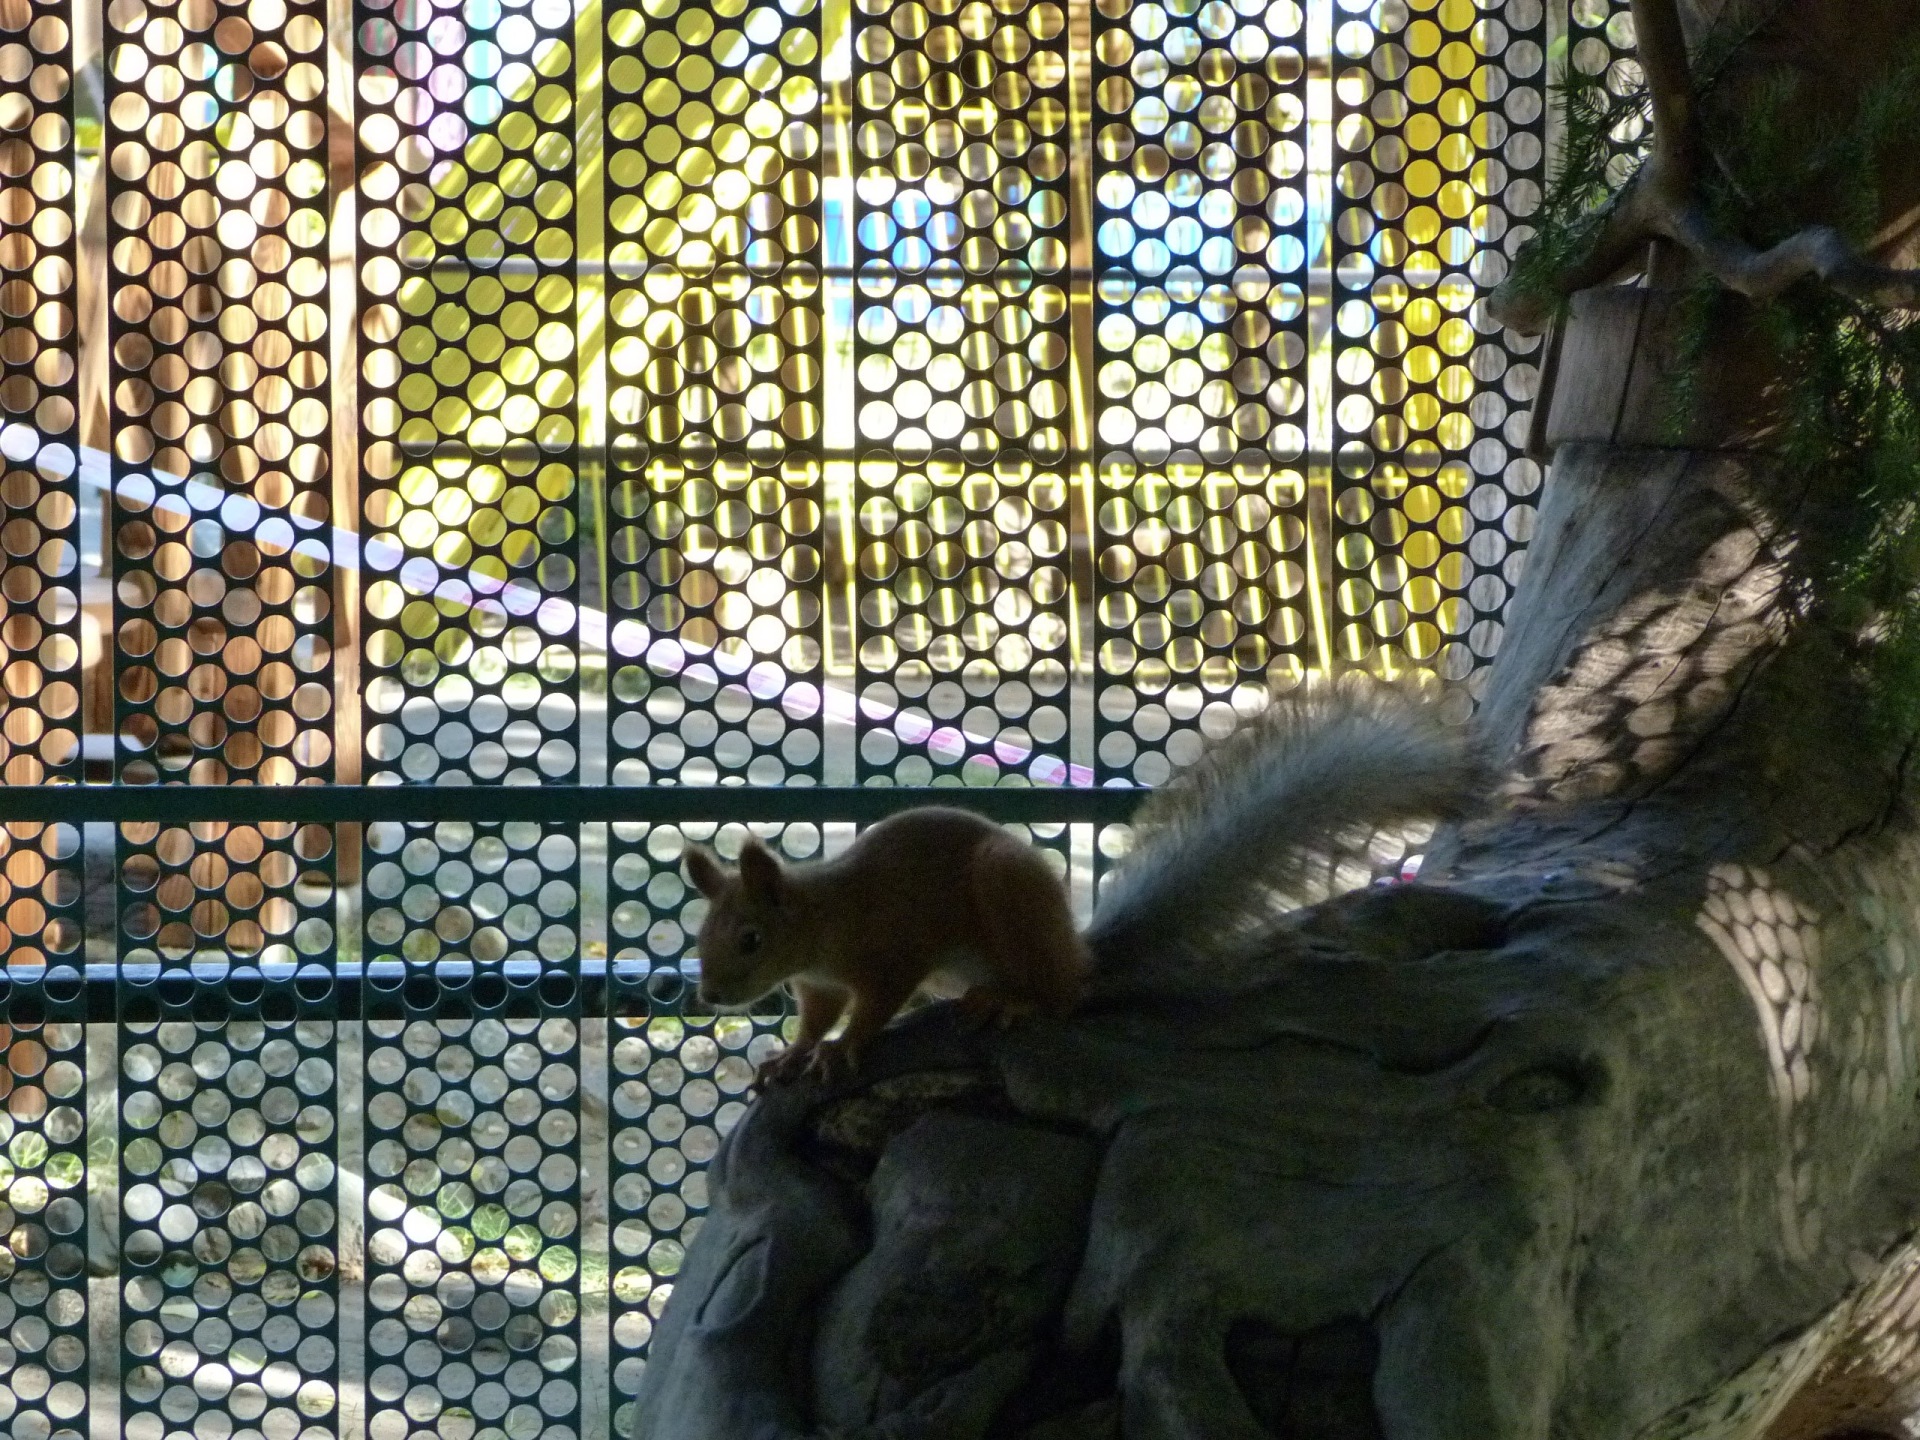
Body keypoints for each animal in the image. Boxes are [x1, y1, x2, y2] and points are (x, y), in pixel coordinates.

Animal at [685, 806, 1090, 1085]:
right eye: (701, 936)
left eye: (751, 939)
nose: (710, 995)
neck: (824, 919)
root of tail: (1075, 954)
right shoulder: (819, 986)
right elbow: (816, 1020)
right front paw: (793, 1053)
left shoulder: (895, 958)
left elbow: (876, 1007)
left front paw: (842, 1046)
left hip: (1008, 887)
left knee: (1059, 996)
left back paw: (1013, 1000)